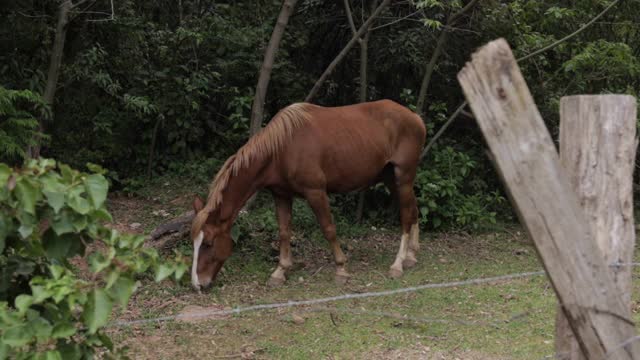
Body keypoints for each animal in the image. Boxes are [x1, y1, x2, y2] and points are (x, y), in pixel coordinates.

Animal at [190, 99, 424, 290]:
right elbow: (284, 232)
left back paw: (398, 264)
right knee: (413, 209)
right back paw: (412, 256)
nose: (197, 284)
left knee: (405, 216)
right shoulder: (281, 195)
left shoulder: (316, 192)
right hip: (392, 179)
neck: (281, 149)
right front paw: (280, 271)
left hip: (403, 177)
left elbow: (328, 229)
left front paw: (341, 269)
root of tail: (415, 118)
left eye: (208, 243)